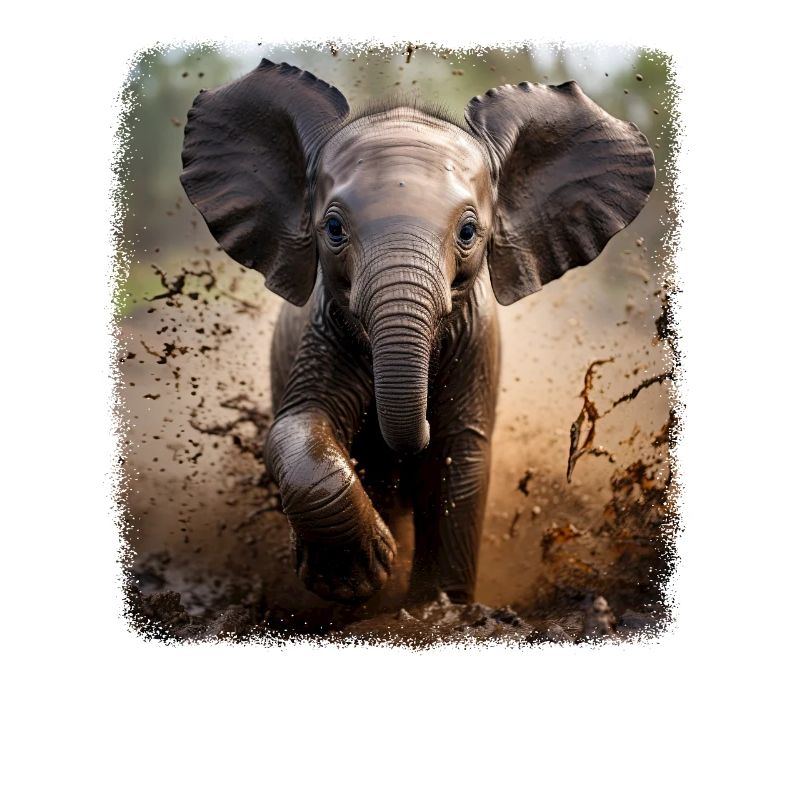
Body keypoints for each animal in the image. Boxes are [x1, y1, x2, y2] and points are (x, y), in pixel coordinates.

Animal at [180, 59, 655, 606]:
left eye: (468, 233)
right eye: (334, 229)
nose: (417, 422)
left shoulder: (475, 339)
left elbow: (458, 457)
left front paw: (435, 607)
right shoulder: (325, 327)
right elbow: (297, 426)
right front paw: (359, 578)